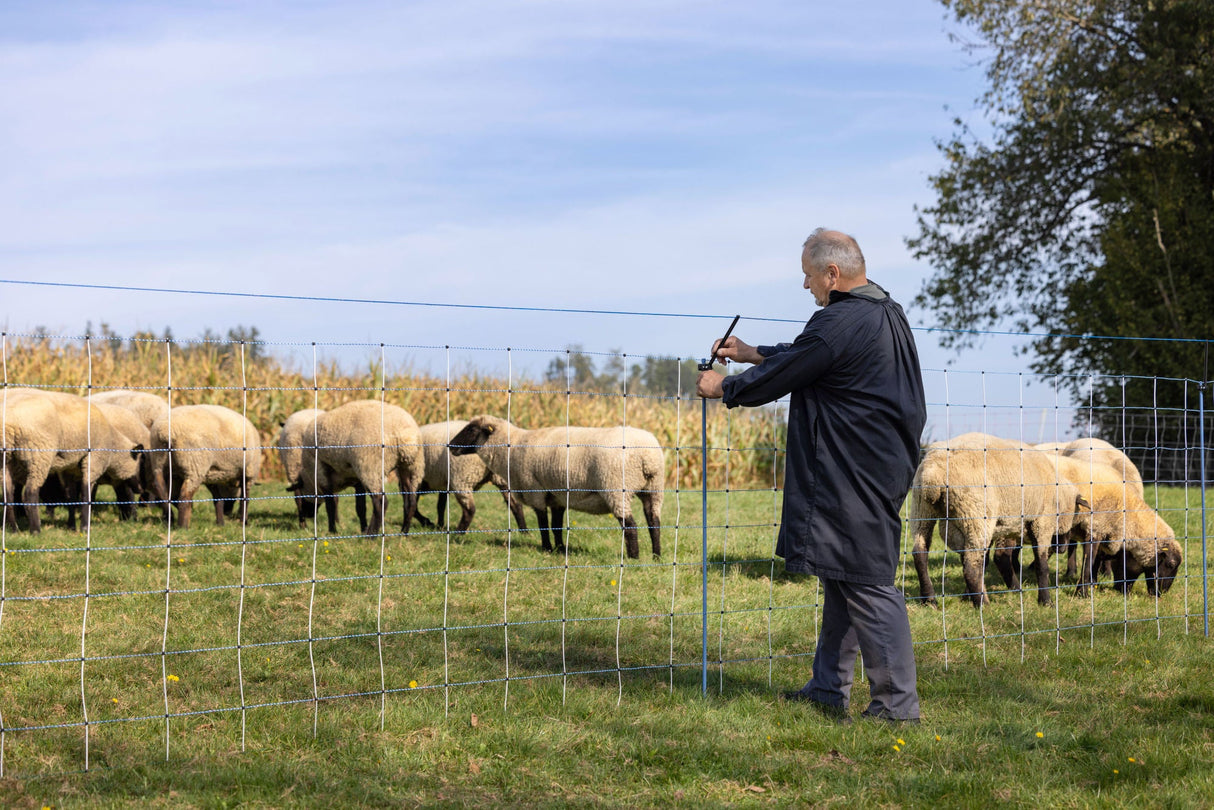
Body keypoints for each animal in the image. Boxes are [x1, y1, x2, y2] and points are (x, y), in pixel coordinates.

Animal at [296, 400, 424, 539]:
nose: (307, 516)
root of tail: (406, 436)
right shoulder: (357, 480)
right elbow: (360, 507)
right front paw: (362, 528)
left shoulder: (321, 471)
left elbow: (330, 505)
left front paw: (332, 531)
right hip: (410, 467)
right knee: (410, 501)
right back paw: (402, 533)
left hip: (370, 467)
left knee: (381, 502)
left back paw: (371, 536)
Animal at [451, 415, 670, 561]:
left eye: (471, 429)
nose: (450, 446)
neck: (511, 447)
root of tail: (647, 456)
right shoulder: (557, 495)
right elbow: (556, 524)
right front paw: (560, 549)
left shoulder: (535, 490)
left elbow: (542, 523)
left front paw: (547, 548)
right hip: (653, 489)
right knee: (654, 522)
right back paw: (656, 556)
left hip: (616, 488)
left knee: (630, 526)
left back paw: (634, 558)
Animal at [908, 434, 1087, 604]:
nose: (1062, 548)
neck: (1059, 497)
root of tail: (933, 473)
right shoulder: (1041, 522)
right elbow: (1041, 564)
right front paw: (1045, 601)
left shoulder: (1007, 524)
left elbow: (987, 560)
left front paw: (967, 596)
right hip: (976, 514)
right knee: (971, 566)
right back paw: (984, 604)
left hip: (922, 508)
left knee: (920, 553)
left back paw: (930, 600)